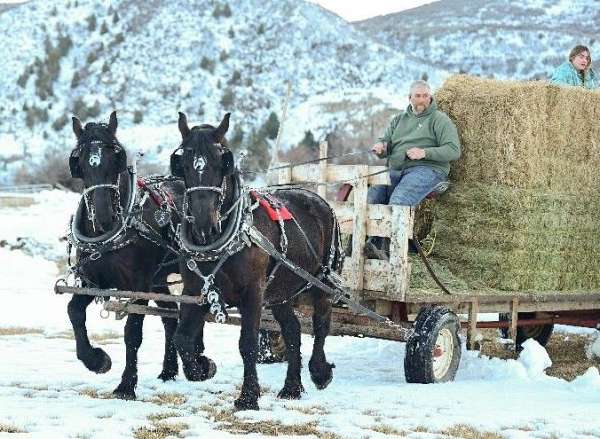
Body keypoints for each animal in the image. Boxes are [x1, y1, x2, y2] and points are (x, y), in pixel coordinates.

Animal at [66, 111, 188, 400]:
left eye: (116, 157)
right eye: (80, 162)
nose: (104, 216)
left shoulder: (139, 285)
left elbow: (132, 332)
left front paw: (126, 385)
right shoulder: (92, 281)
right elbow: (74, 311)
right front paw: (96, 360)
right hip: (159, 279)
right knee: (170, 315)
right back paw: (168, 371)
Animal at [171, 111, 344, 410]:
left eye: (221, 161)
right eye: (184, 163)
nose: (204, 222)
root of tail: (320, 200)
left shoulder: (252, 292)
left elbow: (248, 343)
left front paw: (248, 396)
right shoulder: (197, 290)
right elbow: (182, 338)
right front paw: (201, 368)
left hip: (321, 282)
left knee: (321, 324)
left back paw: (319, 372)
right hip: (281, 291)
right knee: (292, 332)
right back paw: (292, 387)